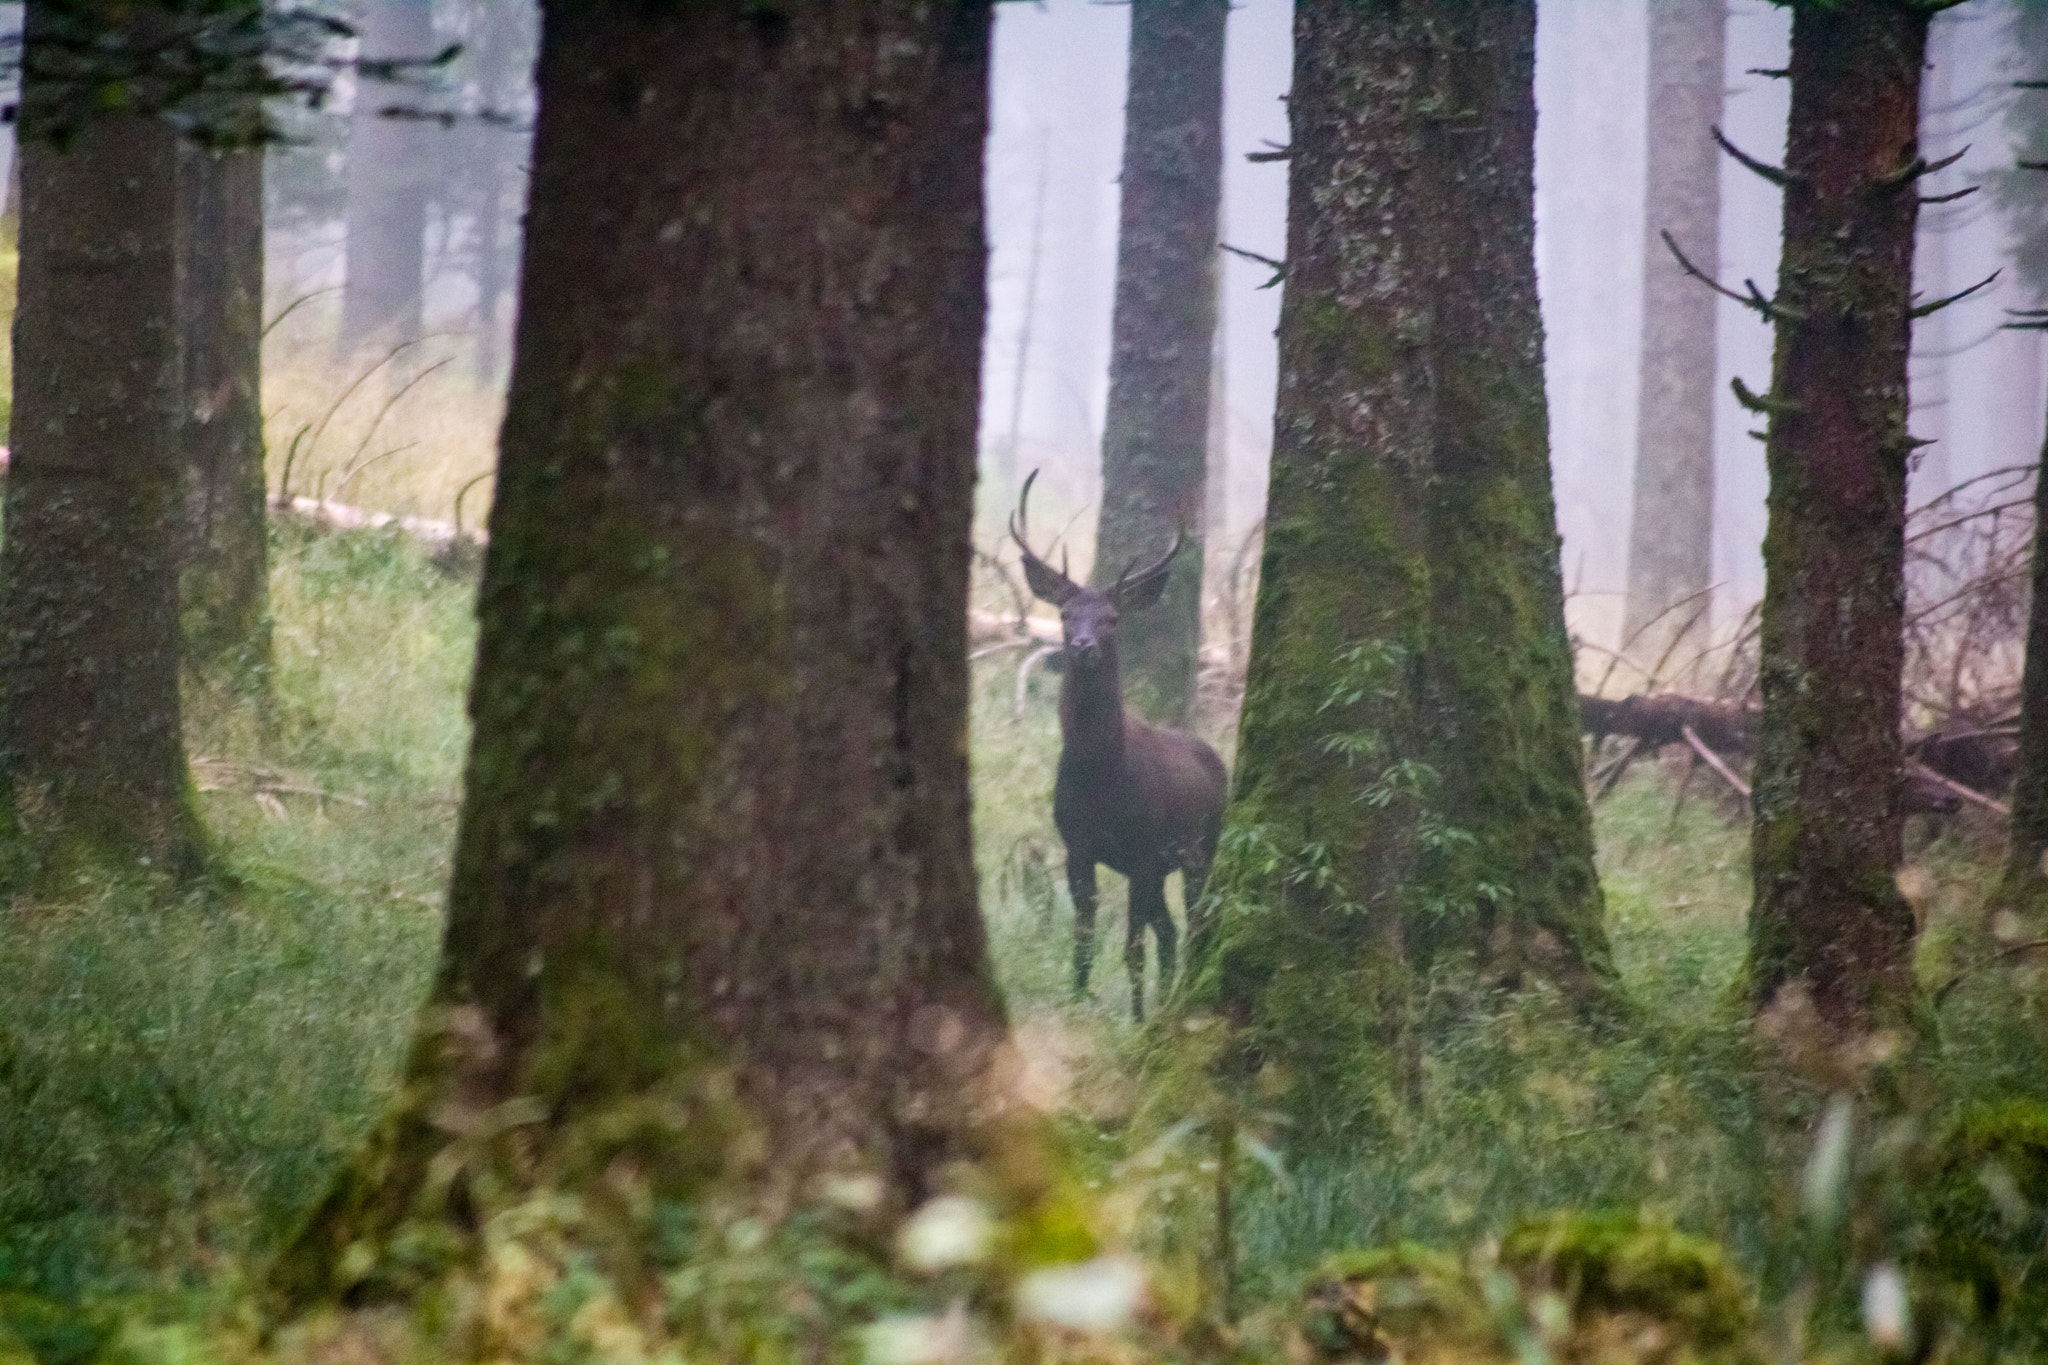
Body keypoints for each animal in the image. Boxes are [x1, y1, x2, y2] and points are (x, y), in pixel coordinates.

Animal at [1010, 472, 1229, 1022]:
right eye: (1066, 613)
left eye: (1112, 618)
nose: (1081, 646)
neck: (1101, 778)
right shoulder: (1078, 846)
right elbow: (1084, 938)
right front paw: (1077, 1001)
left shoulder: (1145, 849)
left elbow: (1131, 949)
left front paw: (1134, 1019)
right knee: (1170, 931)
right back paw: (1167, 999)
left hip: (1203, 845)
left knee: (1195, 925)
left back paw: (1176, 1000)